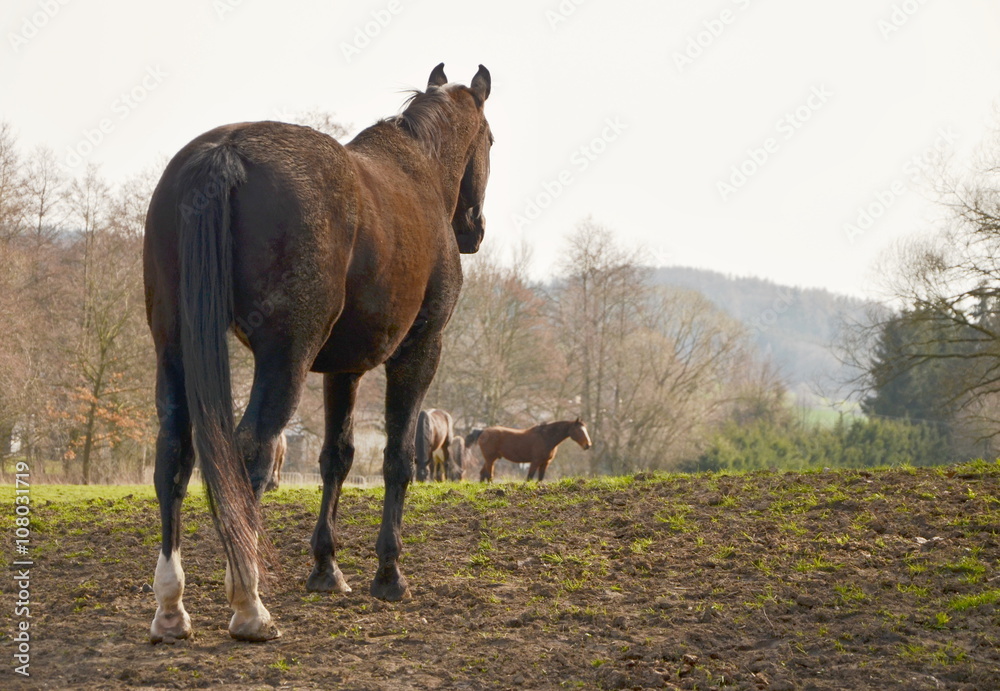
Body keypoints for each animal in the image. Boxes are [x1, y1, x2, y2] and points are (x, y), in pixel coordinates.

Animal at [143, 63, 492, 642]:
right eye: (490, 139)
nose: (474, 230)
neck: (419, 174)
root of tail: (225, 150)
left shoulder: (342, 369)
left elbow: (337, 457)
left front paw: (327, 567)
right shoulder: (419, 351)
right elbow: (397, 459)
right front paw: (389, 572)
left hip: (172, 348)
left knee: (174, 455)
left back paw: (172, 607)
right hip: (285, 357)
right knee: (249, 453)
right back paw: (248, 602)